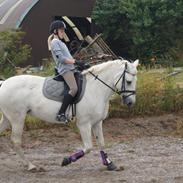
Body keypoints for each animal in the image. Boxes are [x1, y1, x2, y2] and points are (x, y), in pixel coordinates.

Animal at [0, 59, 138, 172]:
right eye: (128, 81)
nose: (130, 103)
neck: (96, 89)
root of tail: (4, 83)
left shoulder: (97, 122)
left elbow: (102, 143)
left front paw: (109, 164)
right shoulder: (84, 124)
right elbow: (88, 147)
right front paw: (66, 161)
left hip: (7, 118)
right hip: (17, 118)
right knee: (16, 141)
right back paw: (31, 166)